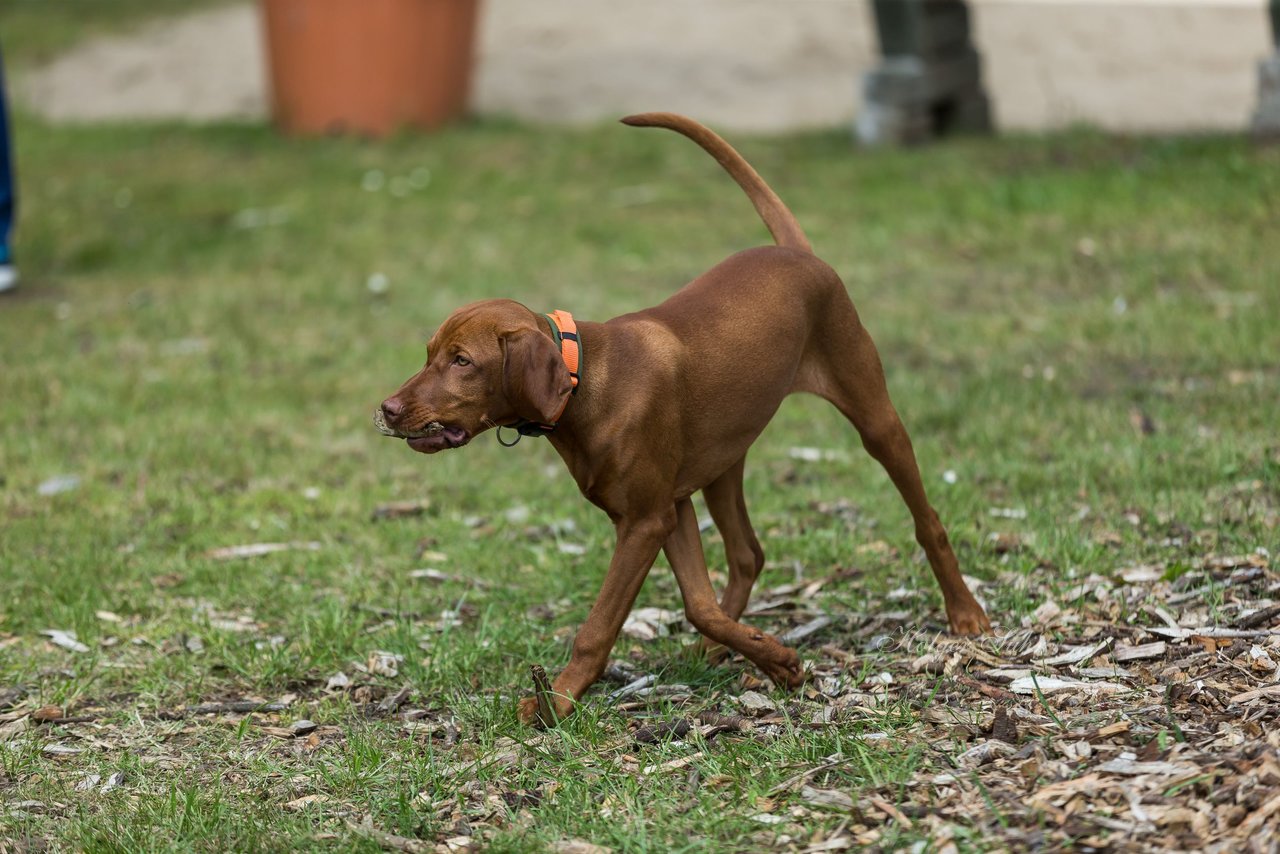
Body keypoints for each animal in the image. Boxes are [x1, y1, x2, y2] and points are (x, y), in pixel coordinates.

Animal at [373, 115, 993, 727]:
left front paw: (558, 700)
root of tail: (798, 253)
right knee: (747, 554)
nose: (387, 409)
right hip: (723, 460)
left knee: (926, 519)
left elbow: (599, 626)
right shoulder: (671, 508)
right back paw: (726, 646)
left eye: (462, 362)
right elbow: (698, 605)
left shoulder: (645, 519)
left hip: (873, 415)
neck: (585, 379)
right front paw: (776, 660)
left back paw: (965, 613)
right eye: (429, 354)